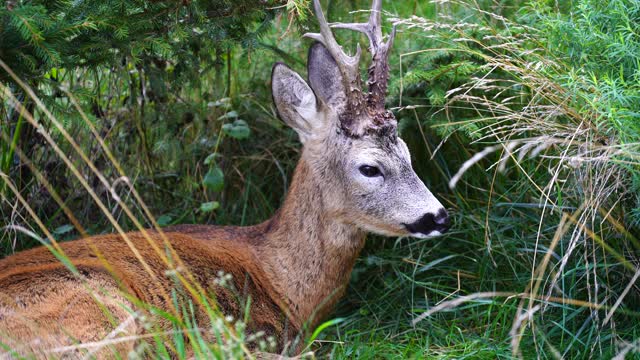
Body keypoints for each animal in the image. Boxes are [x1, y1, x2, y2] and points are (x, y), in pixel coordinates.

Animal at [0, 0, 450, 358]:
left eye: (408, 154)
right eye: (369, 167)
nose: (439, 216)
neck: (280, 279)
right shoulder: (245, 332)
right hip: (101, 308)